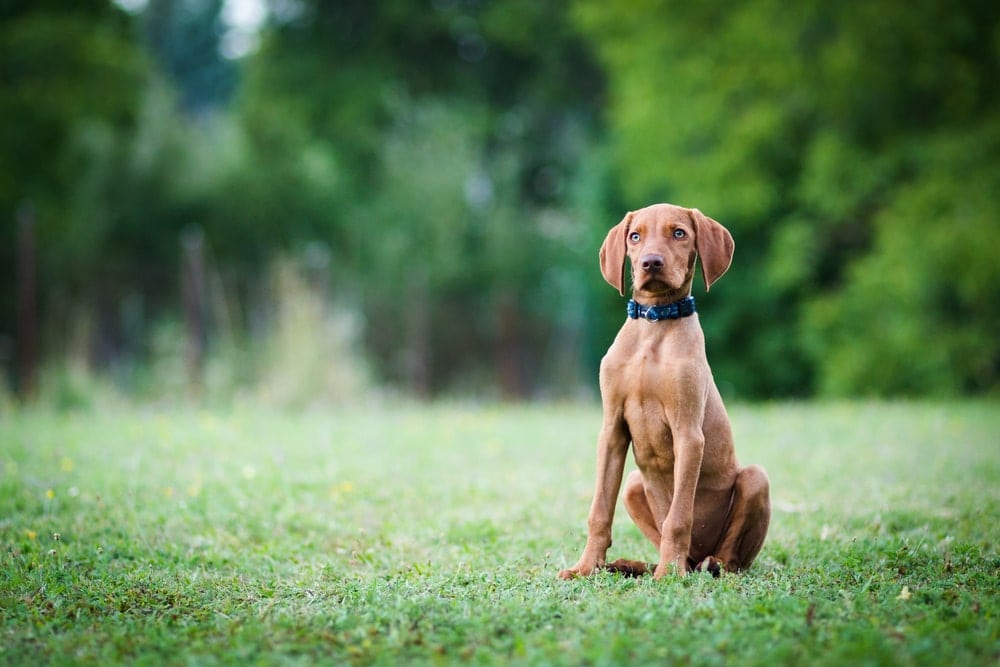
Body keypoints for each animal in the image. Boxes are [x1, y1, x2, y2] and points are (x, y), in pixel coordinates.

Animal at [560, 204, 768, 580]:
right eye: (635, 236)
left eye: (679, 233)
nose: (651, 263)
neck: (654, 325)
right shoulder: (612, 430)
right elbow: (599, 511)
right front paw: (585, 567)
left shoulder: (689, 434)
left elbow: (679, 518)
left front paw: (669, 574)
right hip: (632, 485)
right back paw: (632, 565)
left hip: (756, 480)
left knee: (729, 558)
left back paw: (700, 564)